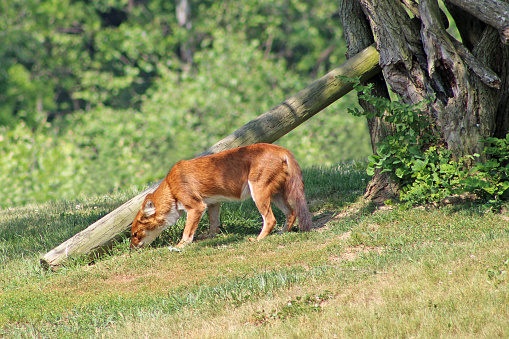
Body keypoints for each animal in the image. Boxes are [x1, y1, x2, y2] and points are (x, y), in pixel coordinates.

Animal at [129, 143, 312, 250]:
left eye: (135, 234)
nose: (131, 249)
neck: (171, 187)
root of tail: (281, 149)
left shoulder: (196, 206)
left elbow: (187, 231)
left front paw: (180, 245)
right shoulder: (212, 203)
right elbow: (213, 223)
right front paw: (210, 237)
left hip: (259, 191)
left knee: (271, 219)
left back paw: (258, 239)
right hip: (275, 194)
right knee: (292, 213)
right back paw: (282, 233)